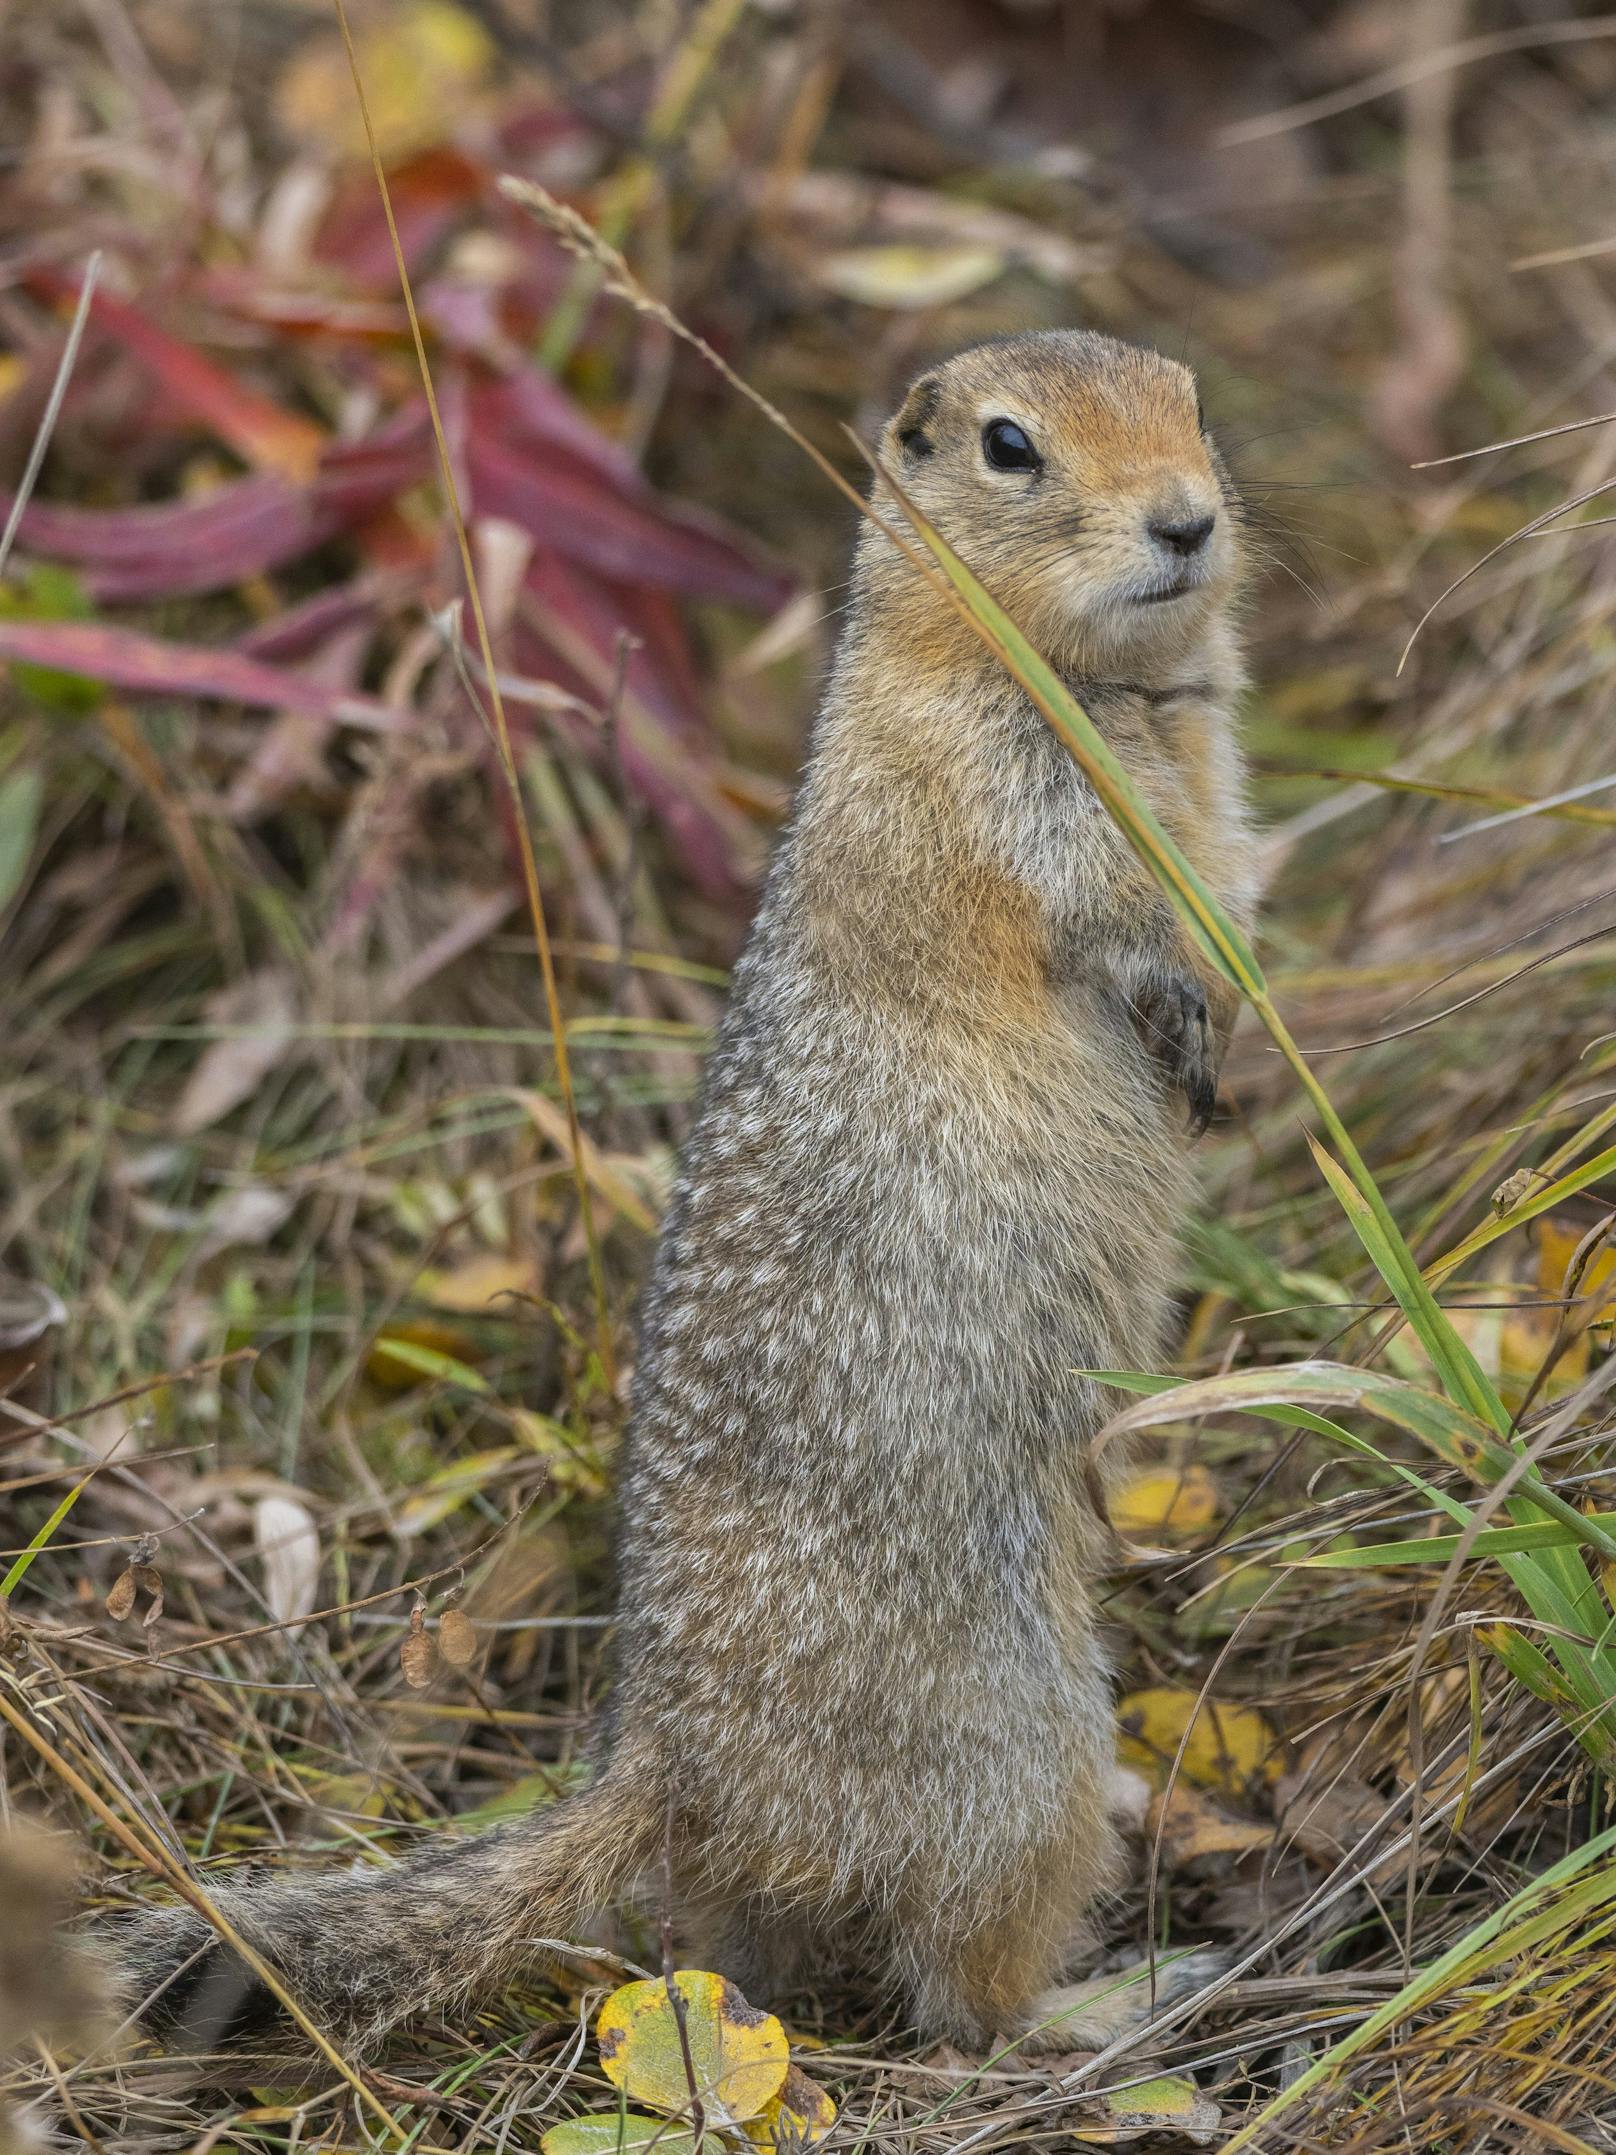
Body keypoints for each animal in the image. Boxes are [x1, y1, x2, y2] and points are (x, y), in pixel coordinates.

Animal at [114, 331, 1266, 2051]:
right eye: (1011, 447)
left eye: (1193, 401)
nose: (1189, 518)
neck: (1102, 685)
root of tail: (661, 1760)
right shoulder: (994, 786)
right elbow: (1097, 909)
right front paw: (1183, 1012)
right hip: (1019, 1737)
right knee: (960, 1988)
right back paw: (1115, 1997)